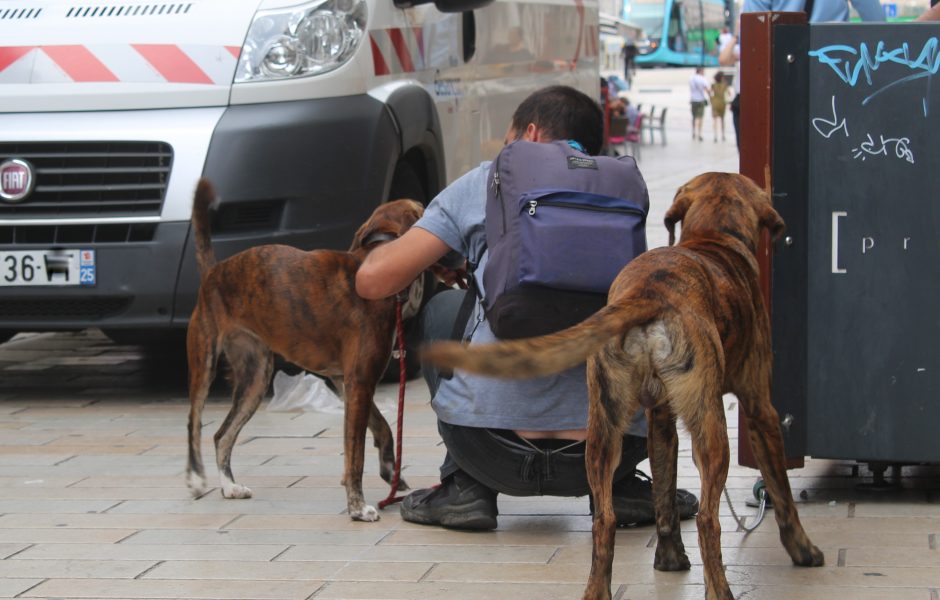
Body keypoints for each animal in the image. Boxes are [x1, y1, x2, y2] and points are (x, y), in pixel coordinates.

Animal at [185, 178, 426, 520]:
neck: (378, 255)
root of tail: (213, 271)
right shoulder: (359, 382)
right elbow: (355, 452)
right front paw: (357, 507)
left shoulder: (347, 381)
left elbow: (382, 426)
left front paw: (391, 470)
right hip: (204, 361)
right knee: (194, 421)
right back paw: (195, 478)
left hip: (255, 379)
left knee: (223, 435)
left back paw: (229, 486)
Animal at [424, 171, 824, 596]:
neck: (713, 238)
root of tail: (648, 293)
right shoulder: (761, 408)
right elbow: (781, 489)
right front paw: (803, 550)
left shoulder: (660, 421)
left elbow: (664, 494)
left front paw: (669, 559)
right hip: (710, 428)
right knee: (706, 520)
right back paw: (720, 591)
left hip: (602, 431)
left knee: (605, 520)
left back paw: (597, 589)